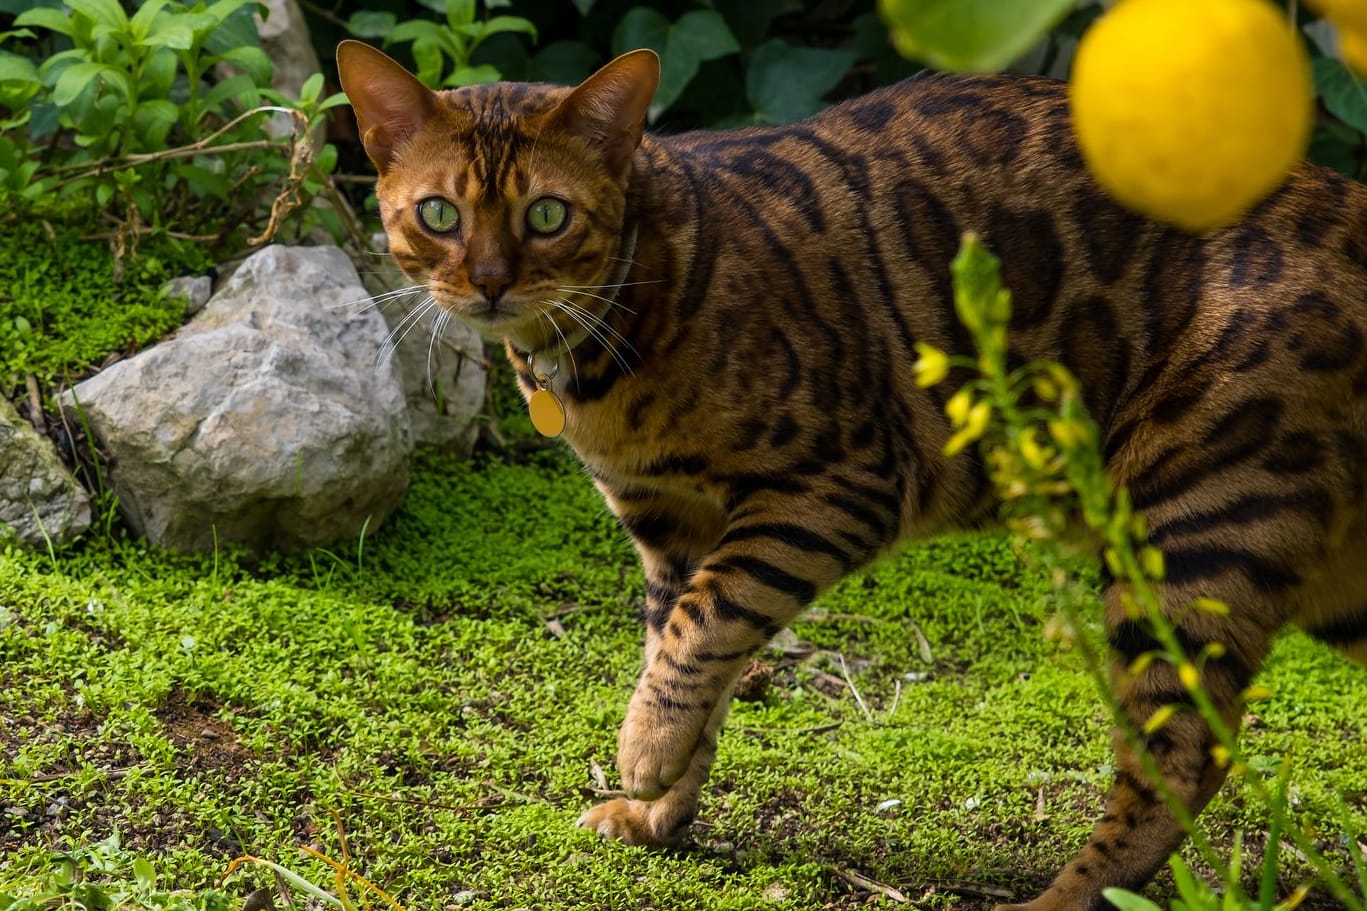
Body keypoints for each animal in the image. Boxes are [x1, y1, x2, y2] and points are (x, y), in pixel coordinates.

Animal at [339, 40, 1367, 908]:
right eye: (439, 214)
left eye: (547, 214)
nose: (489, 282)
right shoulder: (667, 523)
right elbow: (687, 655)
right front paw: (661, 806)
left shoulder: (839, 483)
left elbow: (701, 628)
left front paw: (642, 756)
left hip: (1190, 522)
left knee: (1183, 756)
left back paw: (1061, 897)